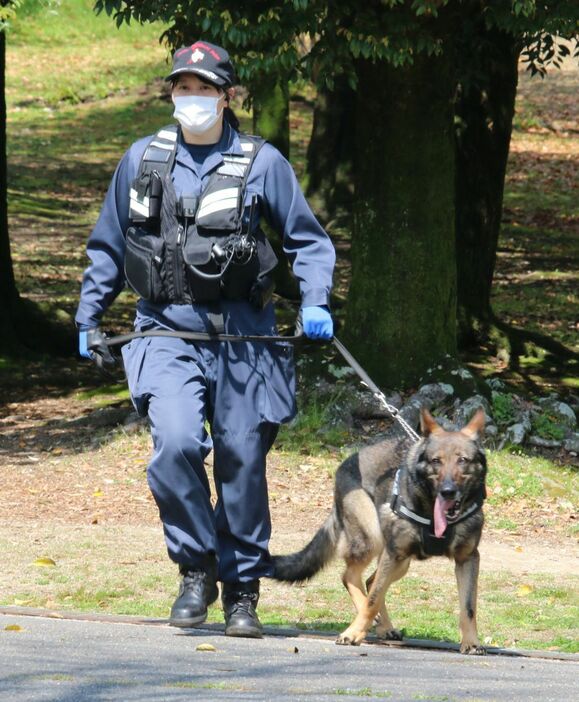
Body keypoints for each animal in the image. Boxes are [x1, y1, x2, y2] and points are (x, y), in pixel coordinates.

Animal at [270, 410, 484, 656]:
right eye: (436, 461)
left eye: (463, 460)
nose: (448, 491)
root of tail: (348, 462)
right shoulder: (394, 554)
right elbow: (372, 600)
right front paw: (353, 633)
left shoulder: (467, 559)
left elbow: (468, 607)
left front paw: (471, 642)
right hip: (373, 541)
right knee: (352, 578)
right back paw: (368, 621)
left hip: (400, 561)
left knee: (371, 581)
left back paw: (384, 627)